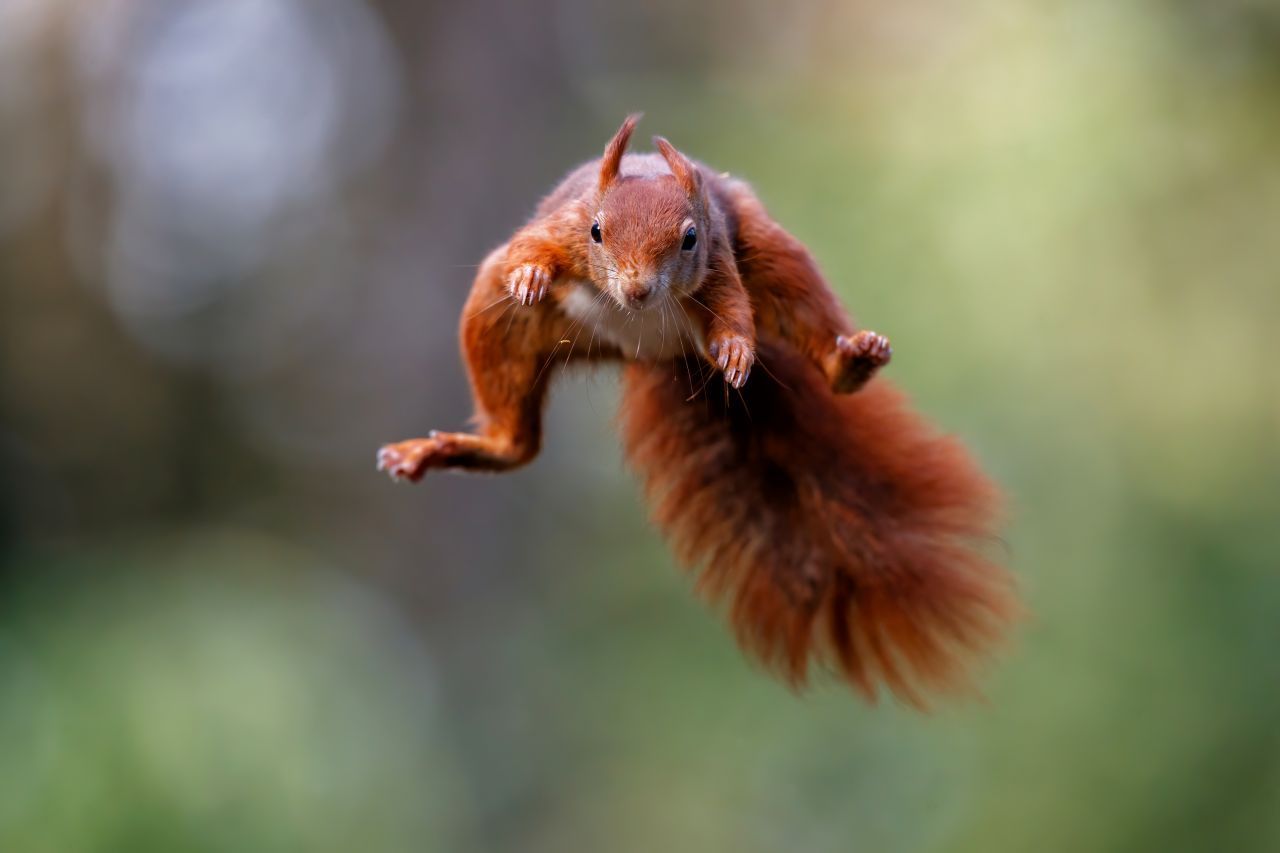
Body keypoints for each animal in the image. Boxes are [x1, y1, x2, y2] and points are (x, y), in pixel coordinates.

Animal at [373, 116, 1013, 706]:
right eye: (597, 231)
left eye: (688, 239)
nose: (637, 292)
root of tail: (656, 348)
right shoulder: (560, 226)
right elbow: (533, 248)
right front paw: (530, 272)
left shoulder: (722, 256)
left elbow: (733, 310)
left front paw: (736, 351)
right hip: (505, 319)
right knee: (516, 437)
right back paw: (454, 446)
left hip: (771, 251)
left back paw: (848, 362)